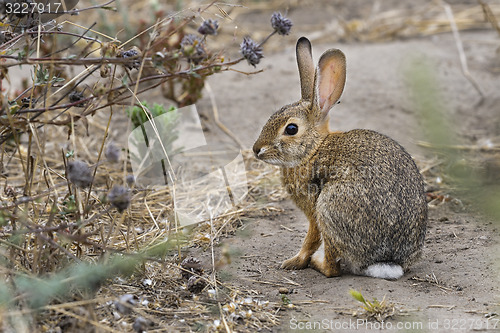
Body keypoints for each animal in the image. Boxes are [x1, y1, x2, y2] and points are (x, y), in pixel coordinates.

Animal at [252, 37, 428, 278]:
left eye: (291, 129)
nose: (256, 149)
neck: (314, 149)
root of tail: (387, 260)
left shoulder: (314, 210)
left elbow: (311, 239)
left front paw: (293, 261)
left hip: (329, 207)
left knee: (332, 268)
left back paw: (317, 263)